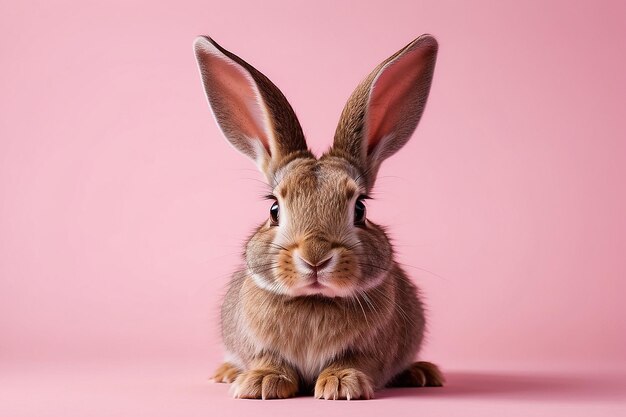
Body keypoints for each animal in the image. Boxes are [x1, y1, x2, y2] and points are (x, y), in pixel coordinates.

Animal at [193, 34, 442, 398]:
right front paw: (261, 382)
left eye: (360, 209)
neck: (314, 300)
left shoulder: (369, 350)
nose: (315, 257)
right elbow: (268, 358)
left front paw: (342, 384)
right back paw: (226, 372)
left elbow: (354, 360)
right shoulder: (258, 344)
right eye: (274, 209)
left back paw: (423, 373)